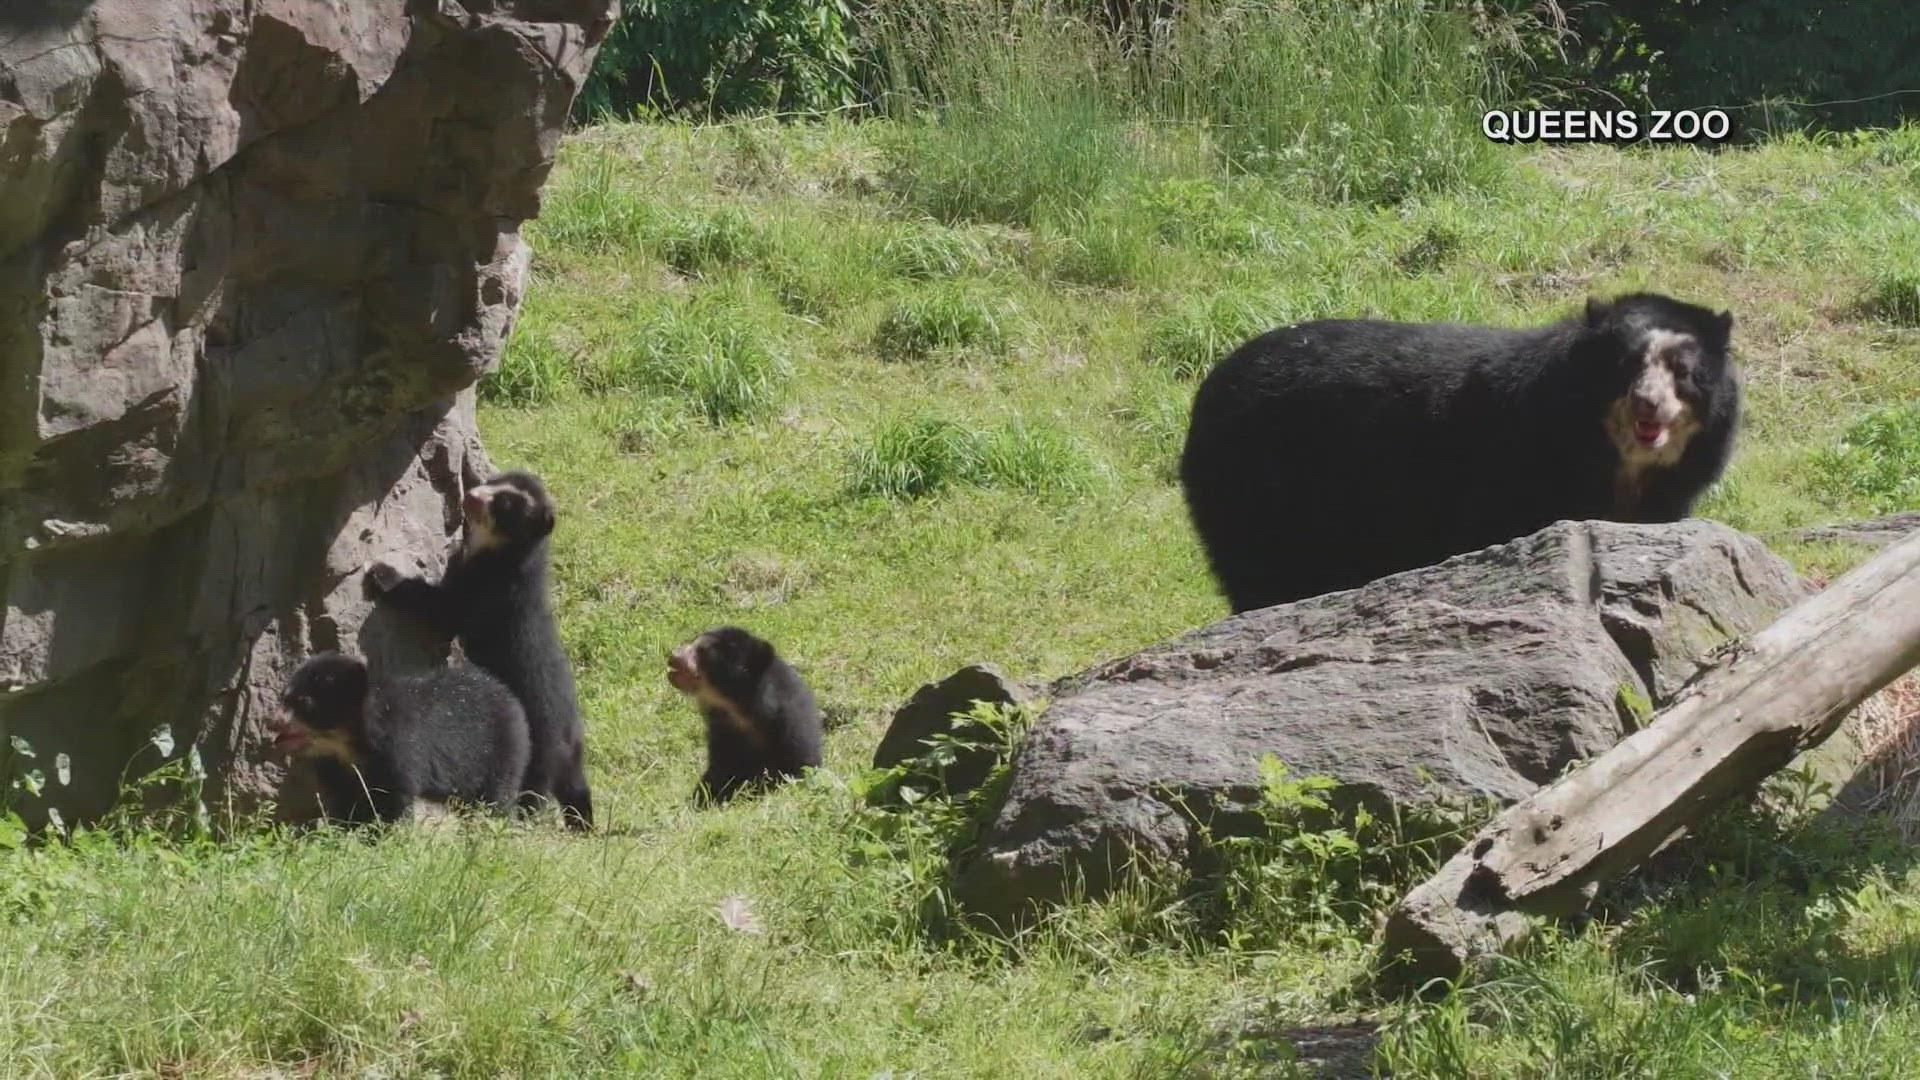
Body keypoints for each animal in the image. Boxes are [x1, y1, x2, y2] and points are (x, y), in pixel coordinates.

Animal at [1182, 292, 1743, 614]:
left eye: (1682, 372)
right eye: (1626, 366)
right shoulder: (1519, 463)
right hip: (1261, 488)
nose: (1649, 404)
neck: (1617, 459)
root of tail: (1208, 390)